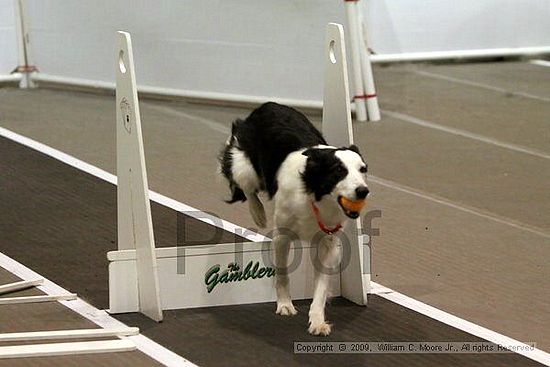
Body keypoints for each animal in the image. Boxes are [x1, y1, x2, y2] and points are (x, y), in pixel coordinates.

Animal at [220, 103, 370, 336]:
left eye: (363, 169)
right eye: (338, 171)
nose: (363, 191)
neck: (314, 194)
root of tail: (267, 105)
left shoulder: (328, 242)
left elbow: (321, 287)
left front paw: (317, 321)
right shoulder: (282, 236)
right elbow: (282, 273)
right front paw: (284, 305)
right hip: (244, 165)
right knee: (247, 186)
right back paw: (258, 213)